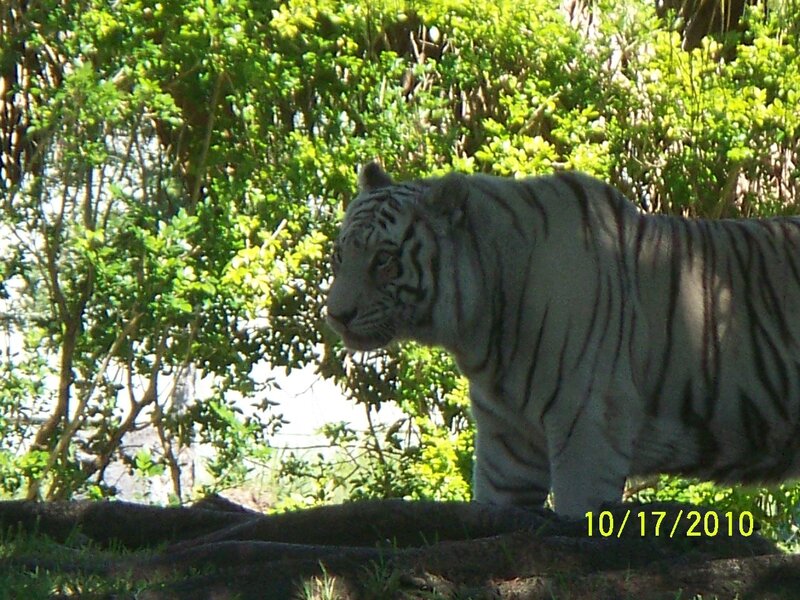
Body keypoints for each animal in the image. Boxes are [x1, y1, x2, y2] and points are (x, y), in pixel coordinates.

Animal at [325, 161, 800, 518]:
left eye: (384, 260)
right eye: (340, 254)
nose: (335, 316)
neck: (479, 331)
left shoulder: (590, 428)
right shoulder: (507, 447)